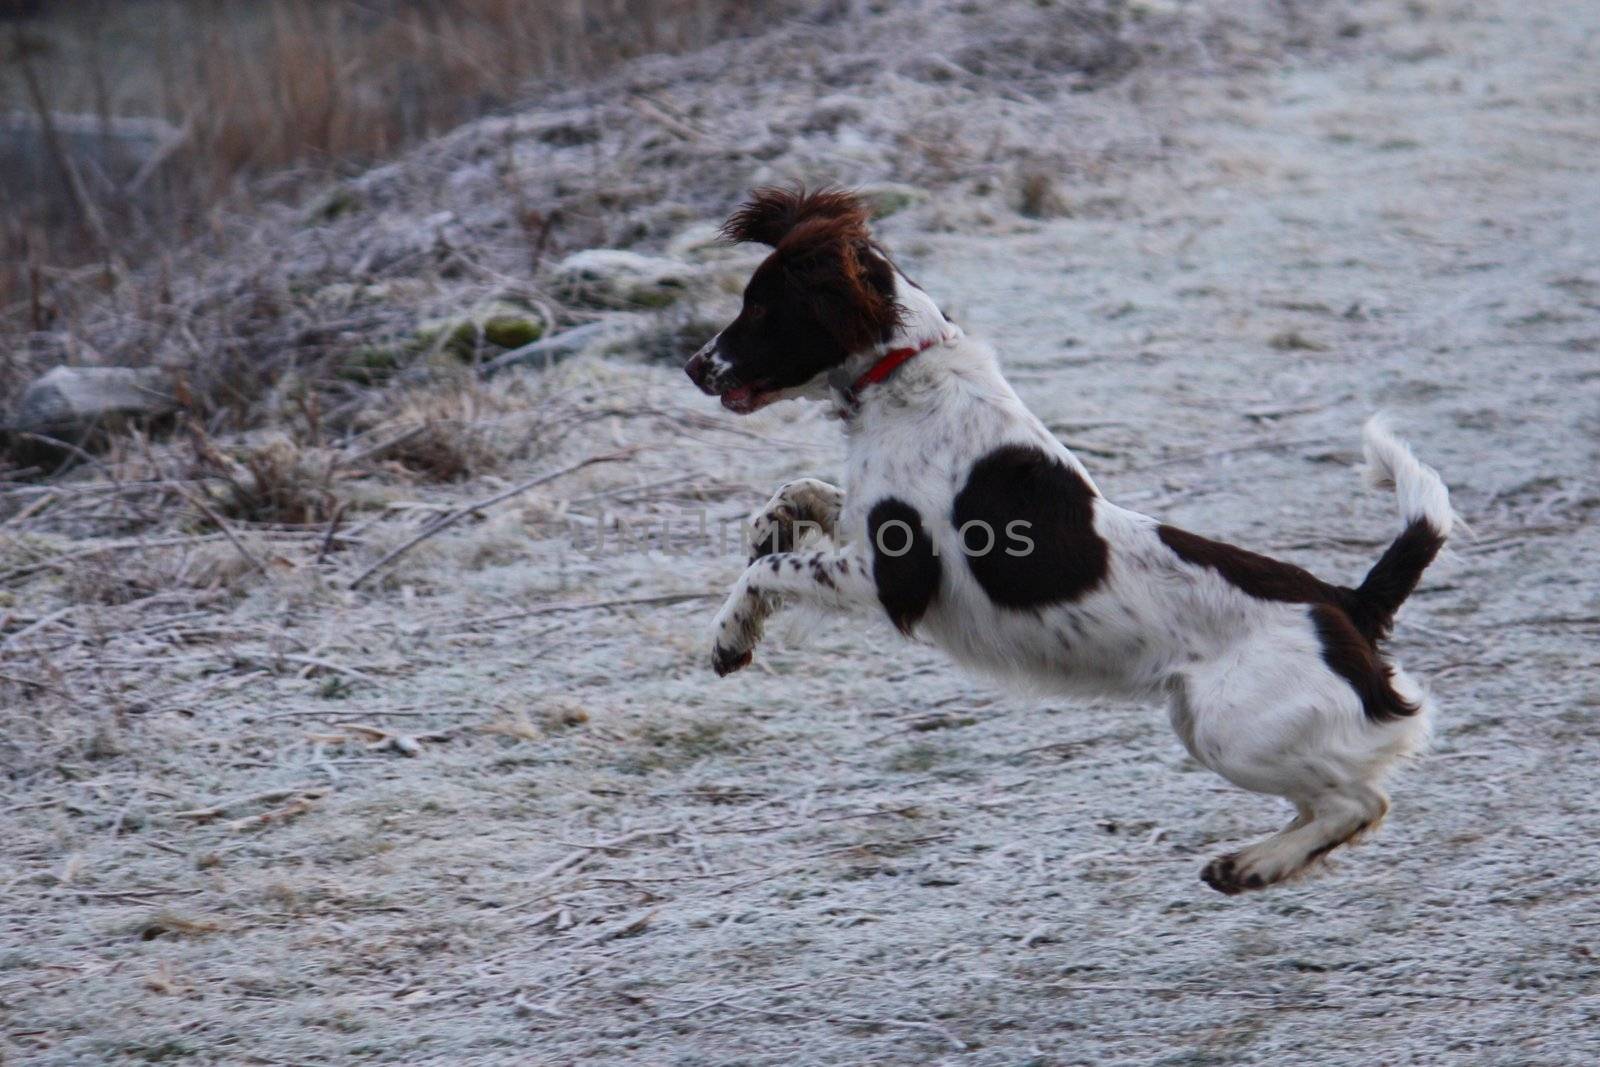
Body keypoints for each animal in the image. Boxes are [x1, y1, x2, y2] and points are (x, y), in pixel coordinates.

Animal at [681, 183, 1459, 895]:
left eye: (762, 309)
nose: (693, 367)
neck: (905, 371)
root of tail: (1346, 602)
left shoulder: (898, 578)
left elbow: (774, 570)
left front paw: (729, 636)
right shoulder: (864, 523)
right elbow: (796, 495)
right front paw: (766, 531)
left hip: (1234, 725)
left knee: (1361, 800)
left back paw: (1251, 863)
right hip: (1209, 723)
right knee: (1330, 804)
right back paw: (1257, 863)